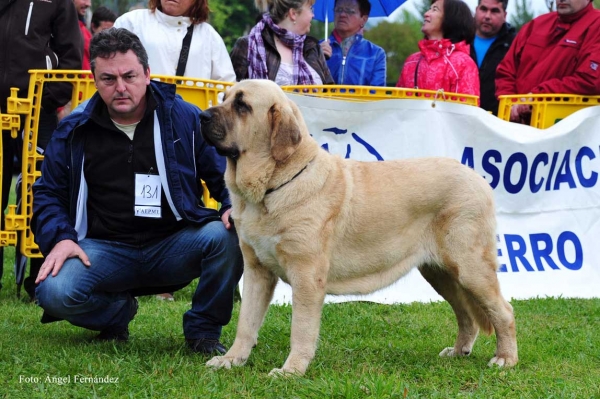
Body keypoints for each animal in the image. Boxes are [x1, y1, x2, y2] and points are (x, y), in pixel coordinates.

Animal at [199, 79, 516, 376]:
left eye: (242, 105)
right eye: (224, 98)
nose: (202, 116)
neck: (271, 187)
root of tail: (478, 178)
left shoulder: (306, 276)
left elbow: (300, 329)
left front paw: (291, 370)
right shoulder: (257, 271)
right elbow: (246, 323)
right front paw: (231, 360)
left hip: (471, 268)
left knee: (504, 310)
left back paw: (505, 359)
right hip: (441, 273)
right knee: (466, 314)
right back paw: (459, 351)